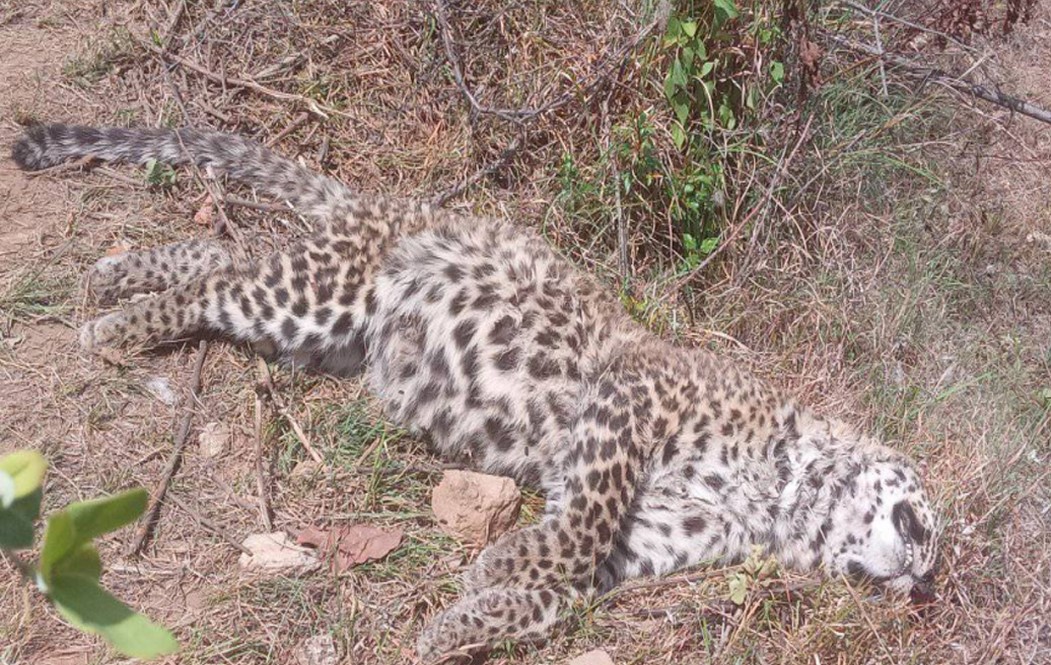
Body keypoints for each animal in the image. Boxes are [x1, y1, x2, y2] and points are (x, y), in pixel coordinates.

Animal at [10, 123, 945, 659]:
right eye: (918, 525)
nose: (915, 584)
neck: (778, 494)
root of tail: (388, 206)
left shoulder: (655, 537)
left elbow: (565, 586)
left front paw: (458, 621)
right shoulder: (629, 401)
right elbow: (579, 529)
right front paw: (497, 565)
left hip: (318, 336)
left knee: (221, 259)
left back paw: (112, 280)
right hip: (325, 296)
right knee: (219, 281)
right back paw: (111, 325)